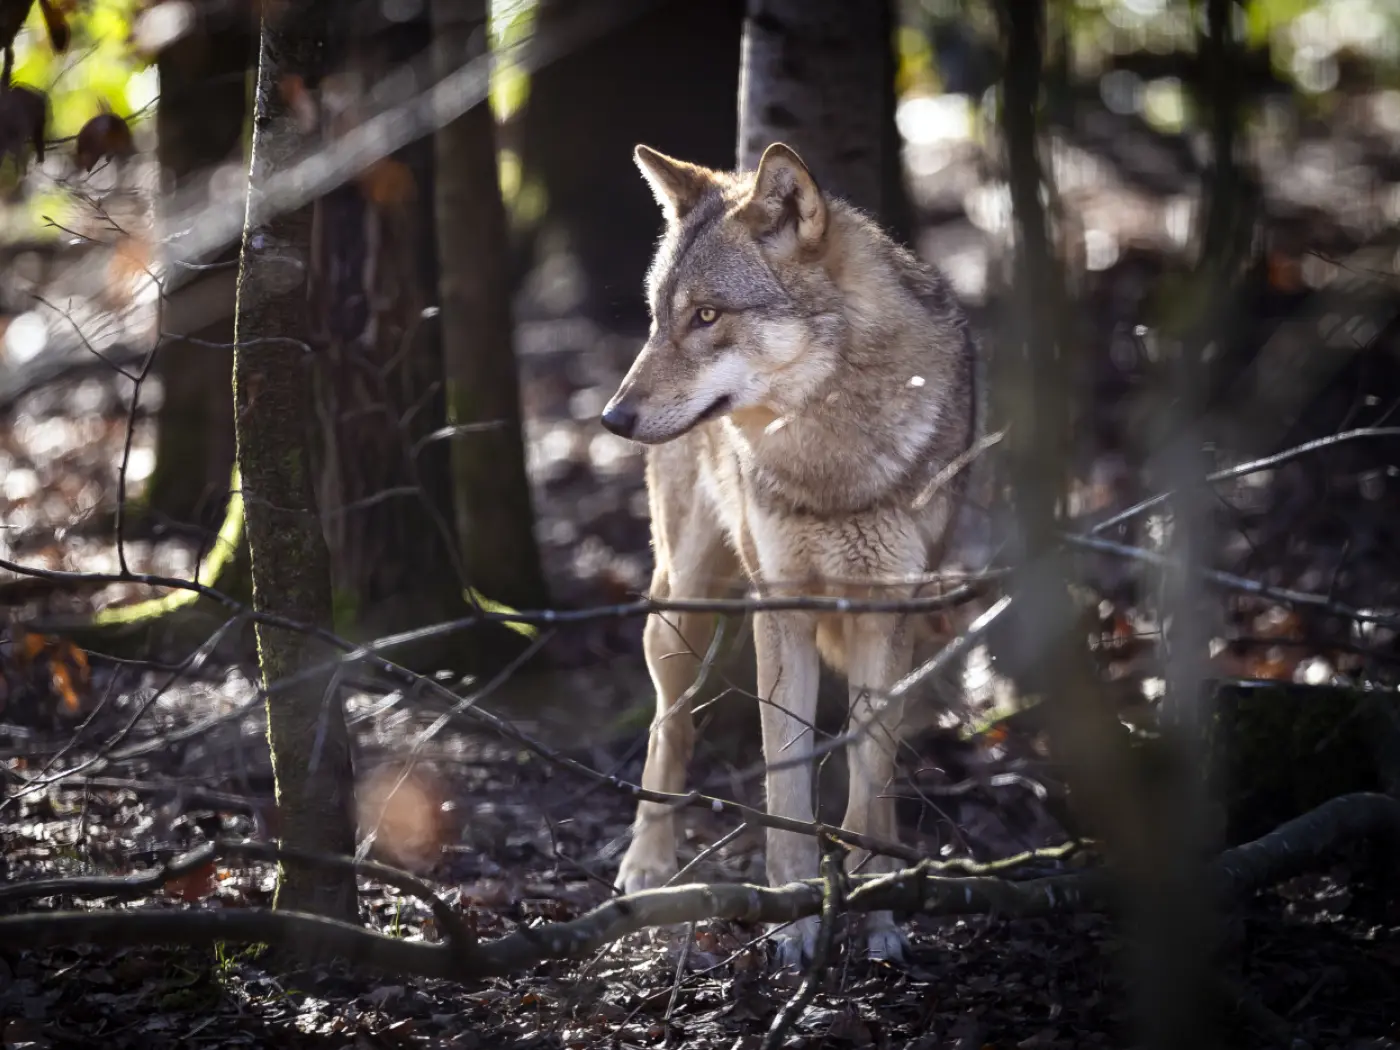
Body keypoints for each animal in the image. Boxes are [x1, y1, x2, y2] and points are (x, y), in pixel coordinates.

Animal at [600, 141, 984, 968]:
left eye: (707, 316)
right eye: (657, 318)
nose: (612, 418)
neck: (831, 459)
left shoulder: (886, 610)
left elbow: (871, 782)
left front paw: (878, 914)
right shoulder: (781, 609)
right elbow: (786, 785)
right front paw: (796, 925)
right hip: (680, 608)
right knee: (668, 726)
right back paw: (647, 864)